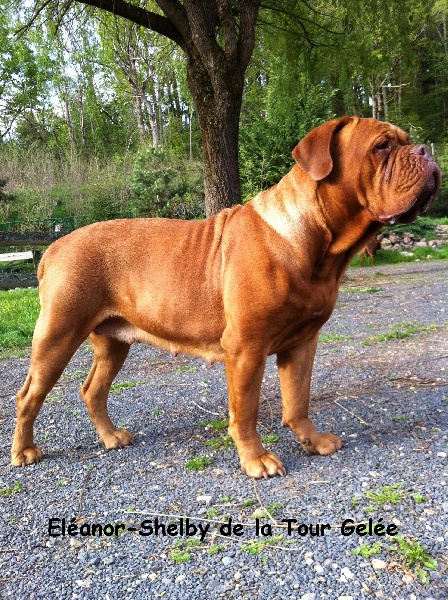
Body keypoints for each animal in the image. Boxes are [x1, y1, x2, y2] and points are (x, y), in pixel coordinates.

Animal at [11, 117, 440, 478]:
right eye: (381, 146)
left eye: (405, 141)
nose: (426, 150)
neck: (318, 244)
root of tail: (53, 247)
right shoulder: (246, 347)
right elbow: (245, 410)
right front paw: (257, 460)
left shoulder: (303, 342)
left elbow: (298, 399)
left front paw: (313, 440)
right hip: (57, 335)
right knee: (28, 395)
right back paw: (24, 452)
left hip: (113, 342)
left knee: (93, 390)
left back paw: (111, 437)